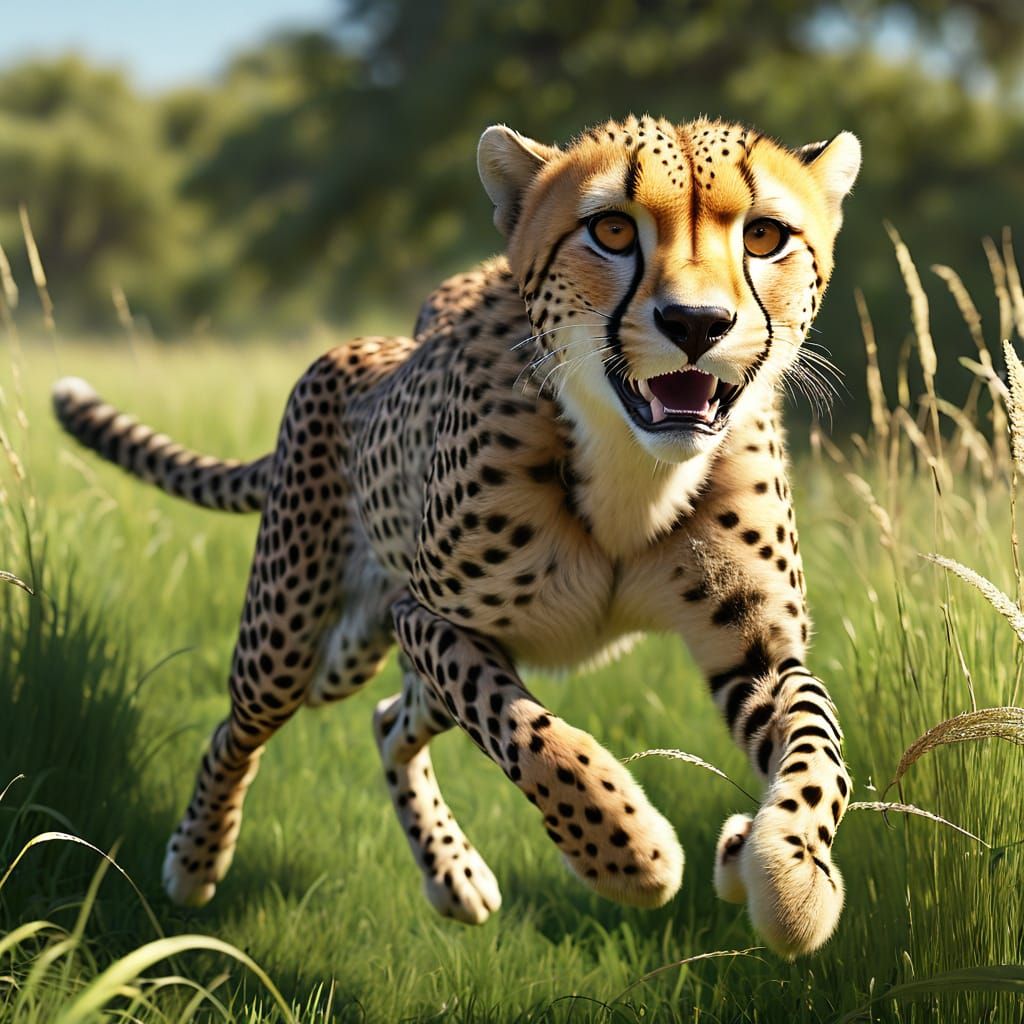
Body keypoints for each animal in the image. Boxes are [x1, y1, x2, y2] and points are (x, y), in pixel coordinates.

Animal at [52, 114, 861, 958]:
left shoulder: (755, 649)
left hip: (360, 647)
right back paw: (196, 858)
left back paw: (452, 873)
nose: (697, 325)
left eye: (765, 236)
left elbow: (818, 752)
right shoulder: (431, 618)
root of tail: (366, 348)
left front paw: (788, 872)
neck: (631, 466)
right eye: (611, 229)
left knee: (387, 721)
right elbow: (531, 737)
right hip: (296, 643)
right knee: (241, 726)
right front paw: (626, 852)